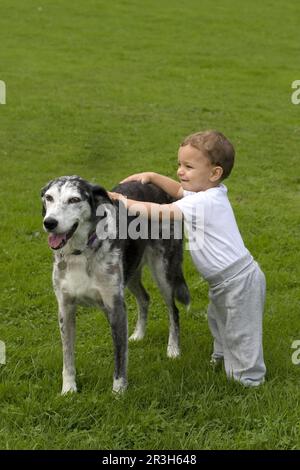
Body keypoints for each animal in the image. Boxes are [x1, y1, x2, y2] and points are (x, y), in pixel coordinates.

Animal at [41, 175, 190, 392]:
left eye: (74, 199)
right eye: (49, 198)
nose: (49, 222)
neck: (81, 253)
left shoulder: (115, 307)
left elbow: (120, 356)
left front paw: (119, 390)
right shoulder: (65, 309)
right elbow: (67, 356)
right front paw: (68, 389)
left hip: (163, 273)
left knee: (173, 310)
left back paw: (173, 349)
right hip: (131, 272)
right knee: (145, 298)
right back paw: (139, 334)